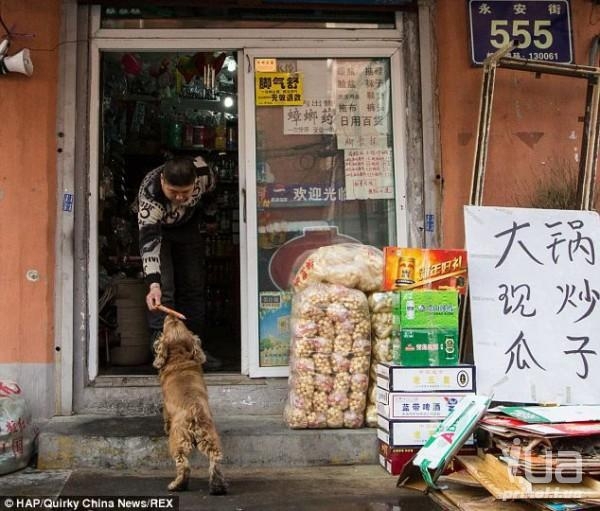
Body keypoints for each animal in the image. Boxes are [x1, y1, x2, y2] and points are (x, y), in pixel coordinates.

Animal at [154, 316, 229, 496]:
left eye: (167, 325)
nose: (172, 315)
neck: (180, 356)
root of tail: (195, 412)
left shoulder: (166, 406)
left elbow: (165, 417)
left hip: (178, 440)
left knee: (183, 464)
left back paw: (176, 485)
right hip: (211, 438)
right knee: (215, 460)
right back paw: (218, 487)